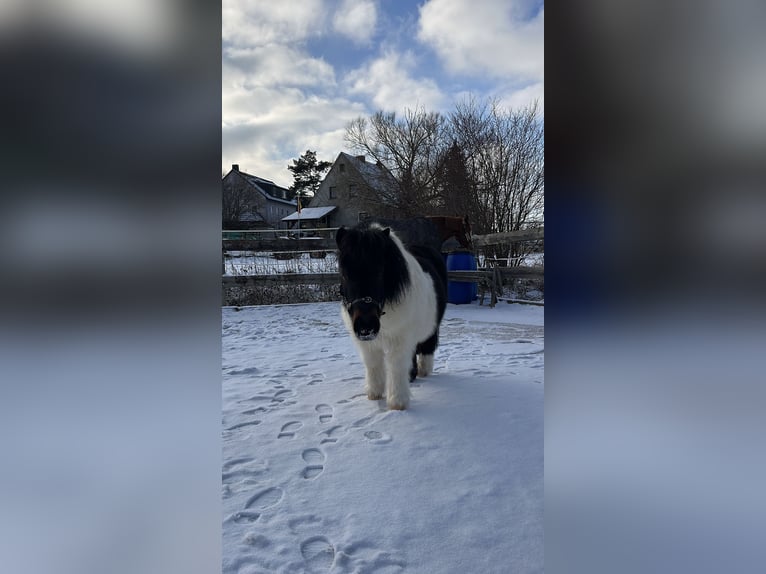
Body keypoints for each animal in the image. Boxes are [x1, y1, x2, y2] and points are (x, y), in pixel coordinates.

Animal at [336, 223, 448, 410]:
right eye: (344, 273)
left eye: (380, 271)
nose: (366, 326)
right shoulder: (368, 344)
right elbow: (373, 364)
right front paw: (374, 394)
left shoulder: (400, 340)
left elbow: (396, 366)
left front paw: (397, 403)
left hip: (431, 328)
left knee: (427, 346)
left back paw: (423, 370)